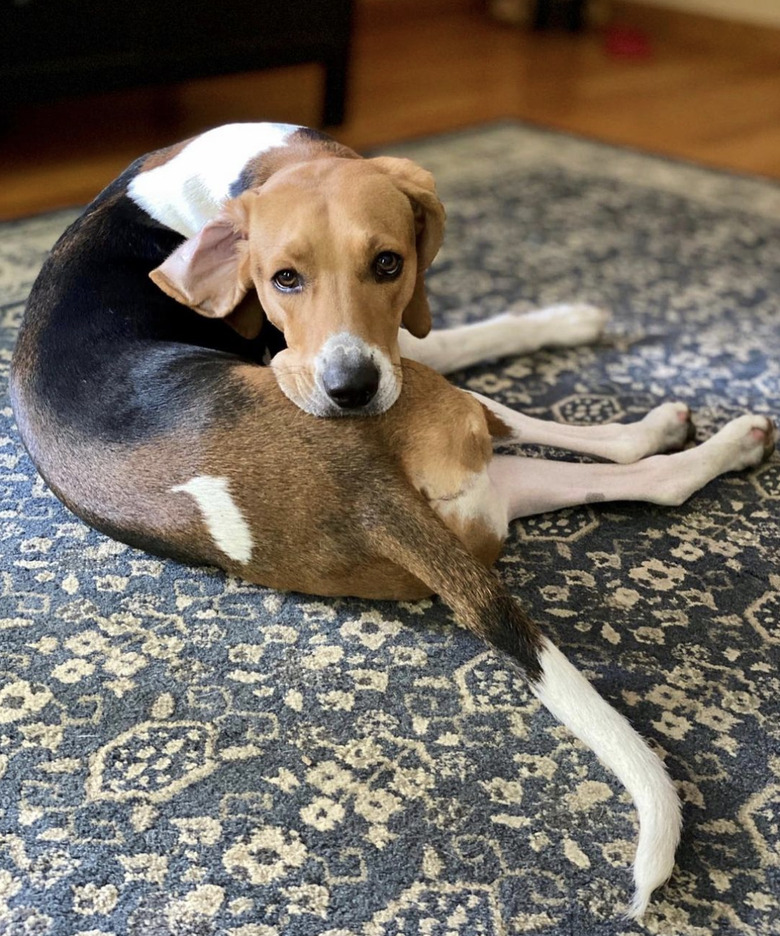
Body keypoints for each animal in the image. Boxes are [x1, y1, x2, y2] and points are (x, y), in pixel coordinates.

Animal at [9, 122, 776, 916]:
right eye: (283, 279)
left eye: (388, 263)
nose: (349, 390)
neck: (237, 170)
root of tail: (362, 495)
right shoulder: (404, 354)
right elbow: (475, 332)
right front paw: (568, 319)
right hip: (446, 405)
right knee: (606, 444)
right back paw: (689, 428)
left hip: (478, 492)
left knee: (651, 480)